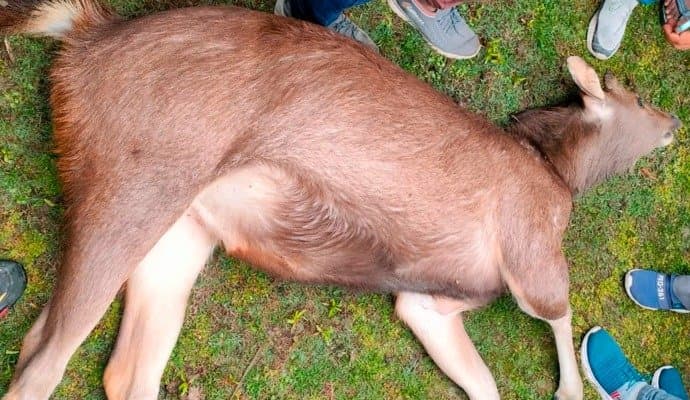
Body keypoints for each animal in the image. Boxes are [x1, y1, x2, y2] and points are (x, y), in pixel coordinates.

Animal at [0, 0, 681, 398]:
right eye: (635, 93)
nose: (674, 119)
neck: (558, 173)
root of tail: (85, 33)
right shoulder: (532, 248)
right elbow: (559, 312)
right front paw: (569, 389)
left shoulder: (427, 300)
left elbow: (482, 382)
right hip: (131, 184)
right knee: (39, 357)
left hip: (180, 234)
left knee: (123, 370)